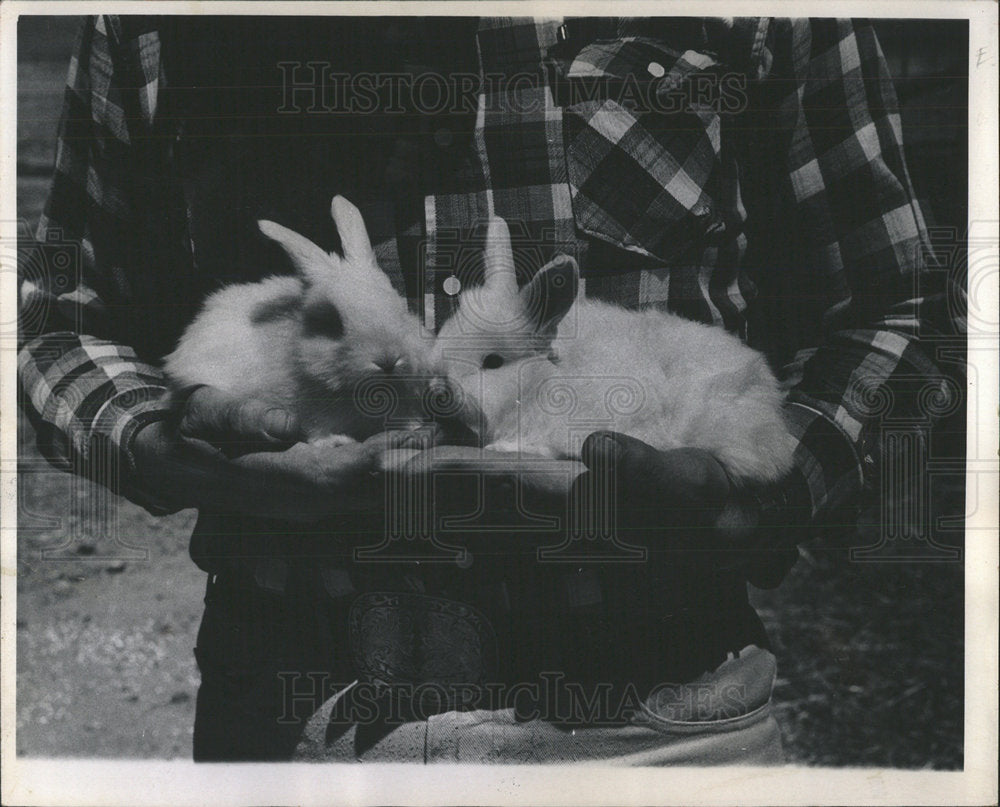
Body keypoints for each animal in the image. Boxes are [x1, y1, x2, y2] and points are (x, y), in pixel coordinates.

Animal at [167, 196, 442, 448]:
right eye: (331, 324)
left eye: (400, 310)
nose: (387, 359)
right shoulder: (312, 415)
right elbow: (317, 432)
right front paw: (336, 442)